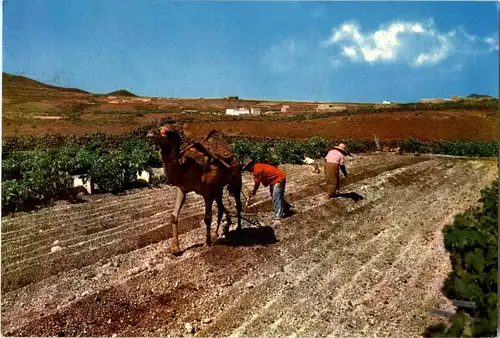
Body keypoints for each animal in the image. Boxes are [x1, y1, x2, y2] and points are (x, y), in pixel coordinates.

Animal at [146, 123, 242, 254]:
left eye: (167, 132)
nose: (150, 133)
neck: (187, 169)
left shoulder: (207, 192)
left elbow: (207, 218)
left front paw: (207, 243)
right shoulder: (182, 189)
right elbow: (173, 216)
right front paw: (175, 248)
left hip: (236, 178)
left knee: (238, 203)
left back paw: (238, 229)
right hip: (218, 189)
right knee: (221, 208)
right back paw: (217, 234)